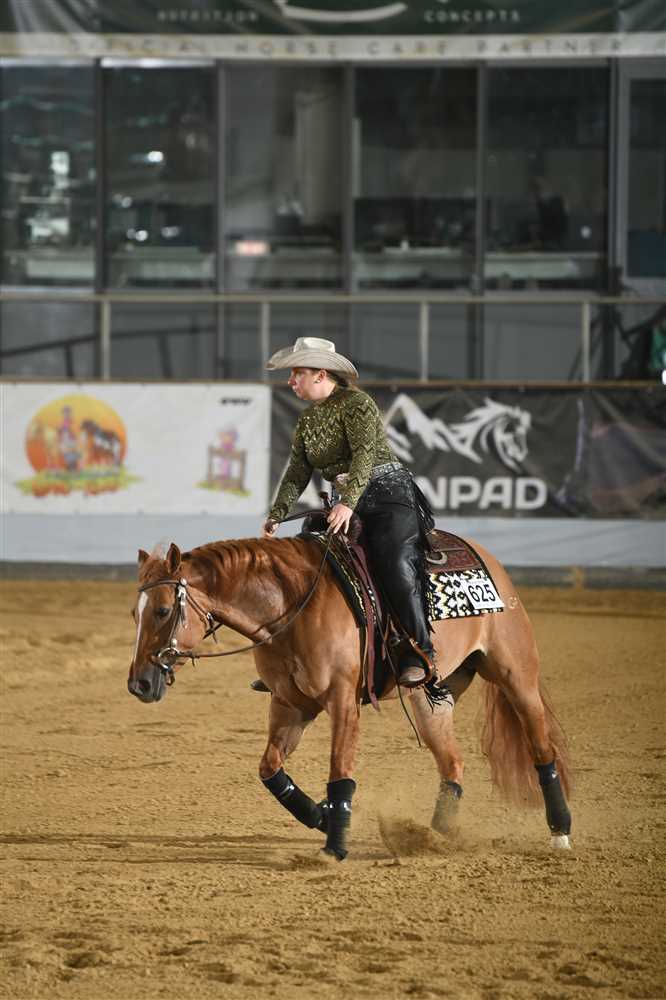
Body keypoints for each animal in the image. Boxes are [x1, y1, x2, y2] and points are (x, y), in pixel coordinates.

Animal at [127, 536, 573, 861]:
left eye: (163, 610)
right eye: (135, 613)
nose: (139, 684)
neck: (293, 606)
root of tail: (487, 559)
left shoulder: (341, 700)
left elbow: (340, 770)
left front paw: (334, 846)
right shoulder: (290, 704)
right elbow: (270, 770)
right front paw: (323, 817)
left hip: (516, 677)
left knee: (541, 748)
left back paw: (560, 832)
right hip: (432, 699)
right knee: (452, 763)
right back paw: (437, 834)